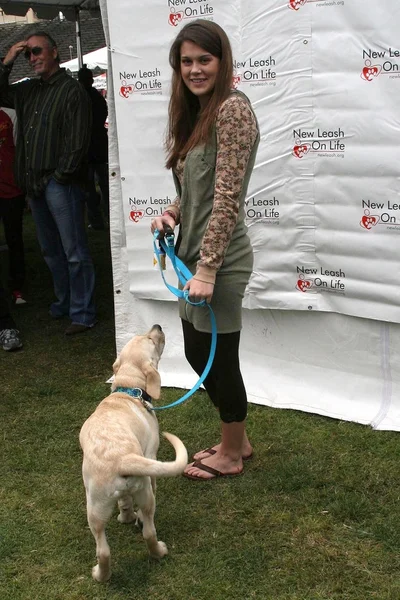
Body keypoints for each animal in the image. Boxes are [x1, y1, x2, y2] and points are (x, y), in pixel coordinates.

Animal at [80, 326, 190, 584]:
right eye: (150, 339)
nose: (158, 325)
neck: (128, 390)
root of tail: (121, 458)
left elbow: (125, 503)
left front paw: (127, 517)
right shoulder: (151, 454)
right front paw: (134, 518)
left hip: (95, 508)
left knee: (103, 550)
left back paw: (101, 575)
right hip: (145, 492)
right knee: (149, 530)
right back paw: (159, 551)